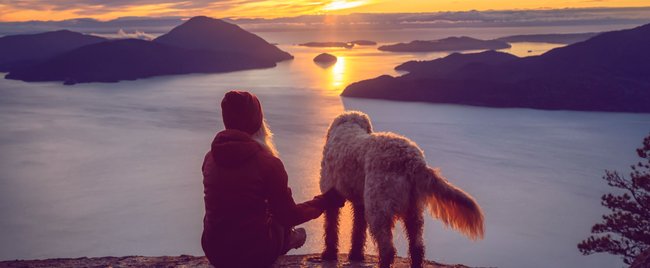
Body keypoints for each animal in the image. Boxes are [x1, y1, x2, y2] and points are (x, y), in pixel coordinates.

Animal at [318, 111, 480, 268]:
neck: (347, 126)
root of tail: (413, 161)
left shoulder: (331, 197)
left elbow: (331, 228)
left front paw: (329, 254)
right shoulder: (359, 202)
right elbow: (358, 230)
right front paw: (355, 255)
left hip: (378, 209)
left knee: (387, 249)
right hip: (413, 210)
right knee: (417, 247)